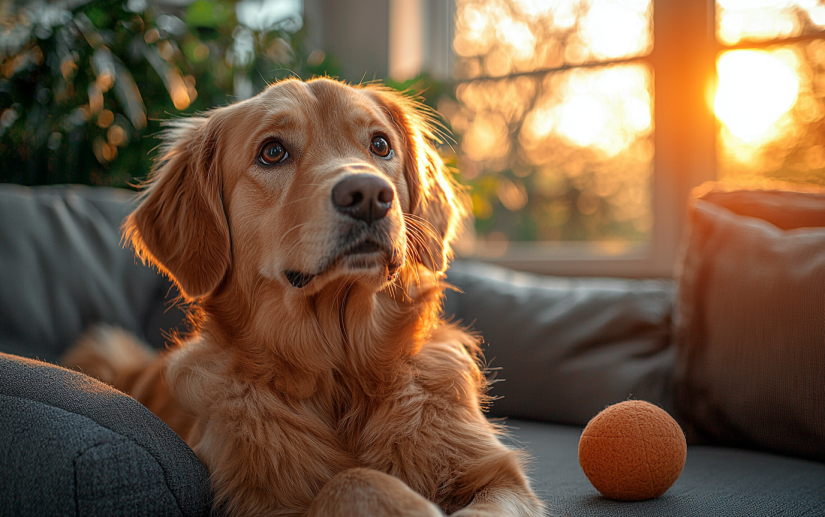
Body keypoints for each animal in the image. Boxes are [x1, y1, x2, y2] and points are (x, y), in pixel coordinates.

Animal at [62, 76, 540, 516]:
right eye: (273, 152)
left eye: (380, 144)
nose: (369, 195)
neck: (342, 375)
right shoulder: (256, 504)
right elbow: (349, 478)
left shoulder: (500, 479)